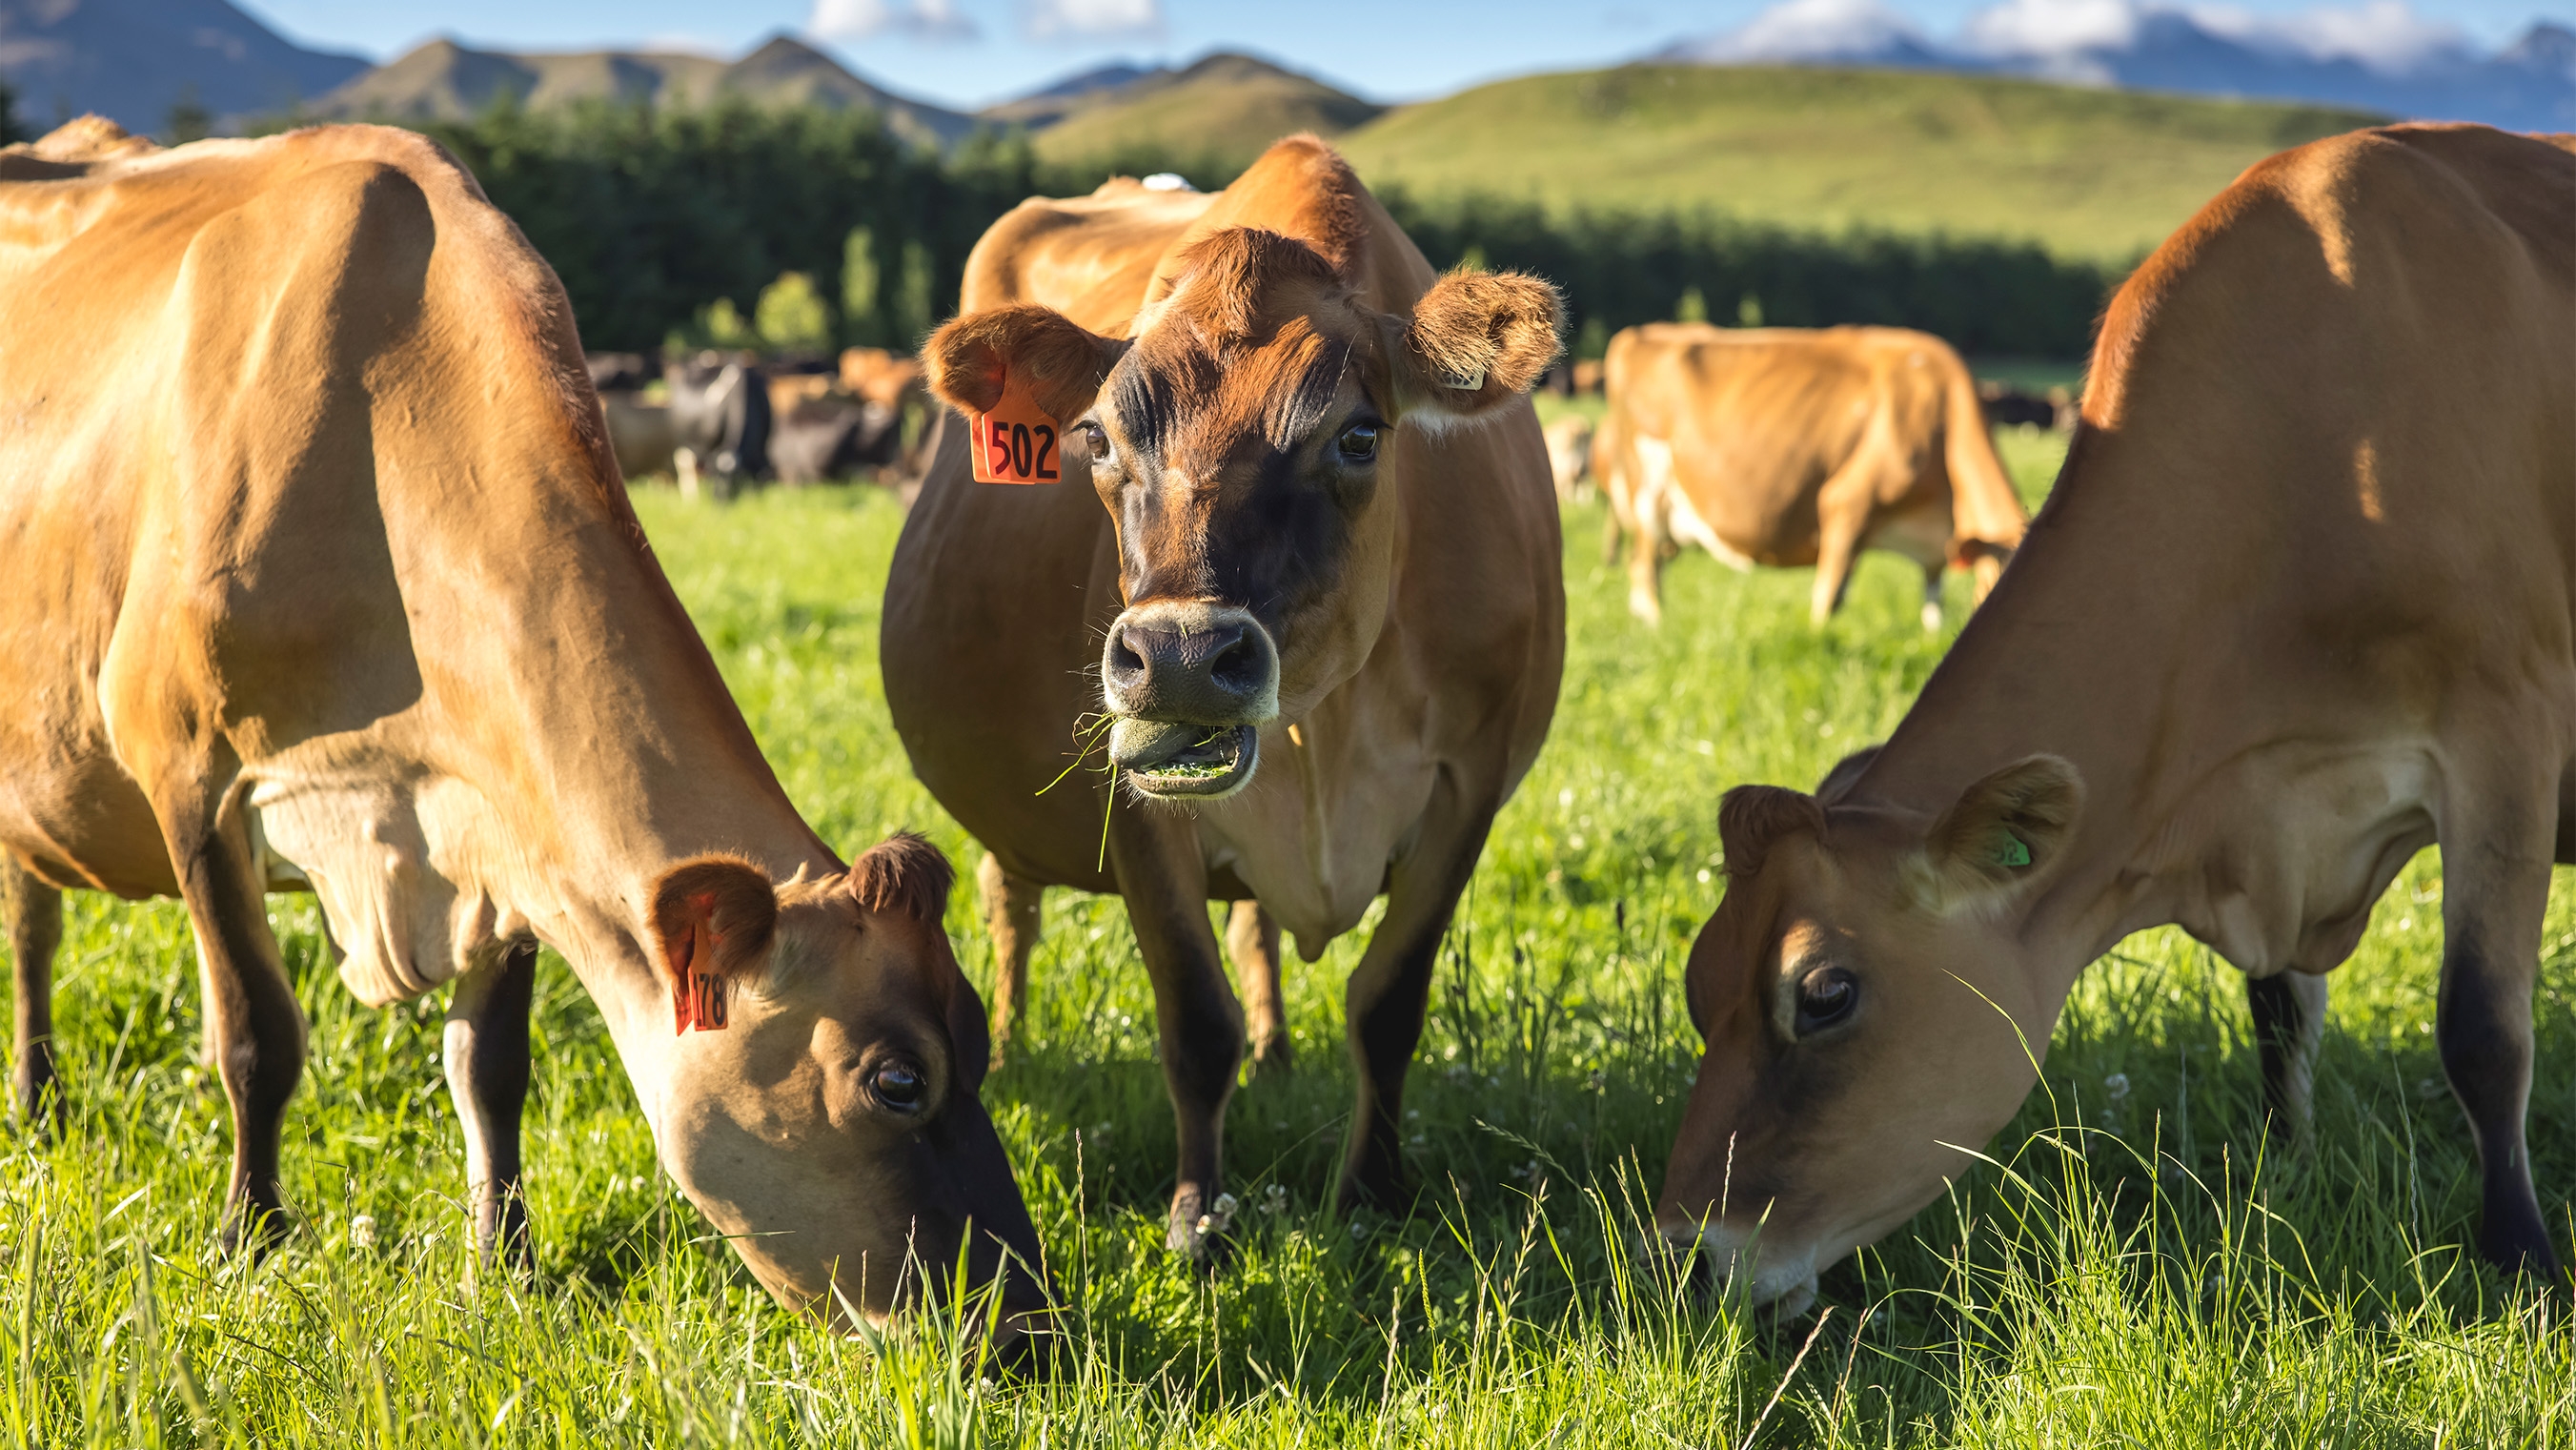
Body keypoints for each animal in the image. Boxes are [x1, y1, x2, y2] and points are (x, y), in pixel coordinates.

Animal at [0, 120, 1049, 1342]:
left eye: (982, 1041)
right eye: (898, 1080)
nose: (1031, 1326)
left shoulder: (498, 823)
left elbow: (490, 1066)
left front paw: (503, 1259)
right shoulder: (189, 773)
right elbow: (256, 1038)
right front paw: (248, 1241)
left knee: (29, 914)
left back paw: (38, 1097)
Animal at [882, 137, 1565, 1260]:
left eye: (1359, 436)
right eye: (1097, 440)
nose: (1181, 656)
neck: (1324, 724)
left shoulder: (1471, 785)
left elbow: (1389, 1002)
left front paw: (1372, 1190)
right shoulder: (1133, 800)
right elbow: (1196, 1021)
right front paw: (1197, 1216)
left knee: (1252, 926)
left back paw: (1279, 1054)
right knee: (1008, 897)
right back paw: (1015, 1041)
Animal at [1597, 324, 2028, 630]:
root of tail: (1640, 332)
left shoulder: (1932, 551)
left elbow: (1932, 606)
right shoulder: (1848, 503)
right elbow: (1828, 598)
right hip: (1648, 493)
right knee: (1644, 568)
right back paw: (1658, 627)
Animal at [1656, 124, 2575, 1313]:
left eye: (1824, 994)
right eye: (1697, 981)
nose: (1682, 1255)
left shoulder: (2505, 731)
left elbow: (2483, 1029)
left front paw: (2523, 1261)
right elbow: (2279, 1013)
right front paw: (2284, 1172)